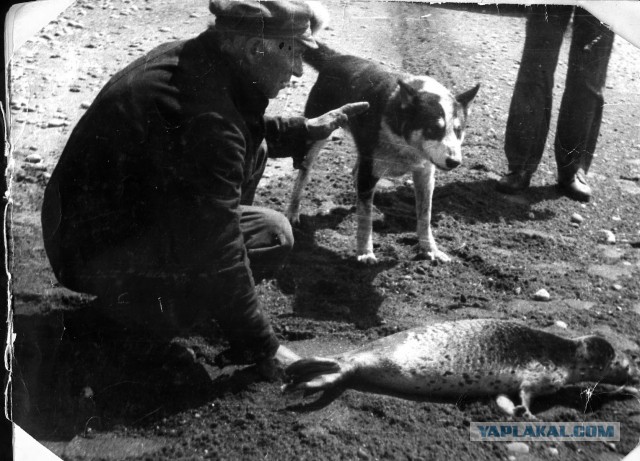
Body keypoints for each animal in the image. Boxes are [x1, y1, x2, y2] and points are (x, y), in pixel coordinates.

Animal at [288, 44, 478, 266]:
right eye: (432, 129)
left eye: (458, 130)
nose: (454, 161)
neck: (405, 143)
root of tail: (334, 58)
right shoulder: (370, 170)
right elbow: (365, 218)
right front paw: (365, 252)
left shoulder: (425, 174)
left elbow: (425, 215)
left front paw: (430, 249)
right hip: (318, 133)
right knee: (303, 175)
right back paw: (292, 212)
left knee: (355, 175)